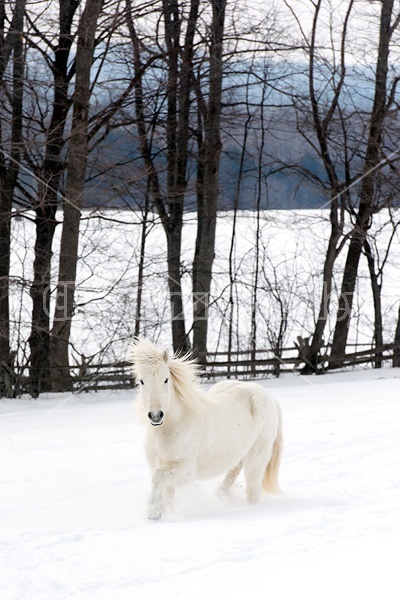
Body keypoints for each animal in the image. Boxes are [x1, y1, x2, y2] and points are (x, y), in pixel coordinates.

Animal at [127, 338, 282, 520]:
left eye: (165, 380)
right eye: (141, 381)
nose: (156, 415)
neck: (173, 427)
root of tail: (270, 398)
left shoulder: (185, 470)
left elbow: (160, 477)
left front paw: (154, 512)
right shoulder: (159, 466)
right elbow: (166, 492)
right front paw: (165, 512)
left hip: (256, 457)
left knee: (252, 491)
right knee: (233, 470)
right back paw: (220, 496)